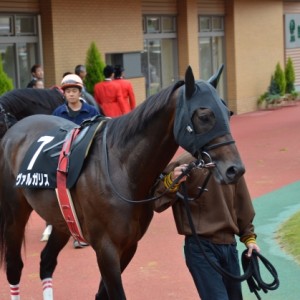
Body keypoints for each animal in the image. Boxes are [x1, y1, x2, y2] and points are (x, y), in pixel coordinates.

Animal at [0, 67, 244, 298]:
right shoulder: (106, 249)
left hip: (62, 219)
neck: (122, 167)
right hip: (14, 214)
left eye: (228, 113)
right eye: (204, 116)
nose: (235, 169)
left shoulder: (129, 246)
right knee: (14, 267)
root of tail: (14, 131)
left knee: (46, 262)